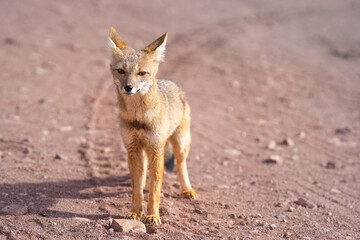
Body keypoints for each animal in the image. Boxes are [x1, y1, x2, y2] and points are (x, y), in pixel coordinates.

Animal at [107, 28, 197, 225]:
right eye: (121, 71)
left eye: (142, 73)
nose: (128, 87)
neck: (139, 118)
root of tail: (171, 81)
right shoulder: (133, 148)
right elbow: (137, 188)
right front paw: (134, 212)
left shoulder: (156, 148)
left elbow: (155, 189)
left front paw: (153, 216)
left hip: (180, 144)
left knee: (181, 165)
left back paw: (187, 190)